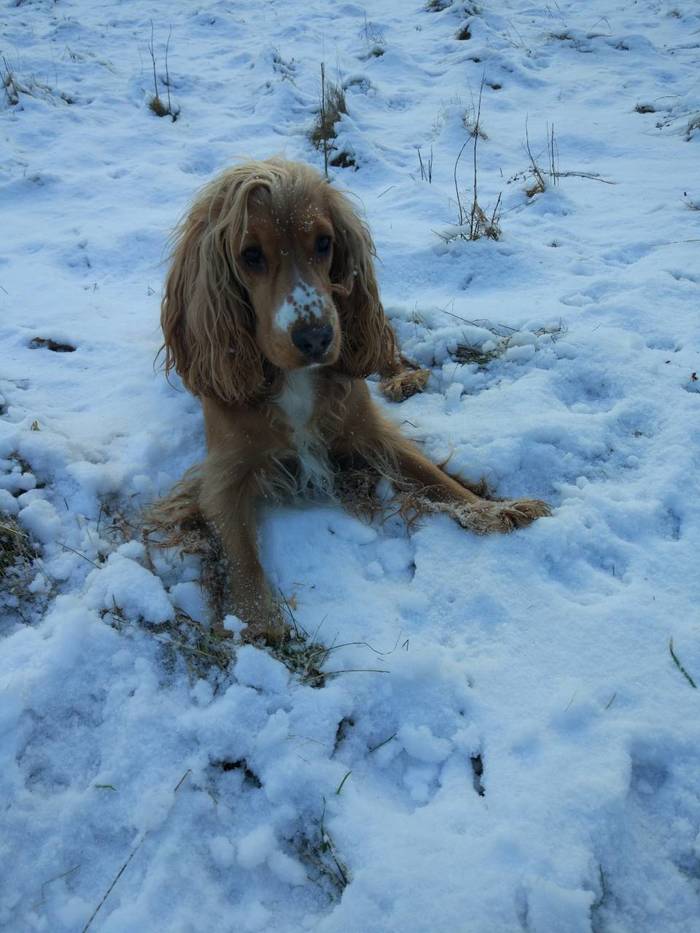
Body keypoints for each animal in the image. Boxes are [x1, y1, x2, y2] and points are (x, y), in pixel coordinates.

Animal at [161, 160, 548, 640]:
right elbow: (239, 549)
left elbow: (434, 476)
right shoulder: (224, 472)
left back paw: (405, 378)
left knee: (388, 347)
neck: (293, 379)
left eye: (324, 243)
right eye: (250, 254)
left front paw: (496, 509)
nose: (316, 338)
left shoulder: (368, 430)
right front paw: (258, 619)